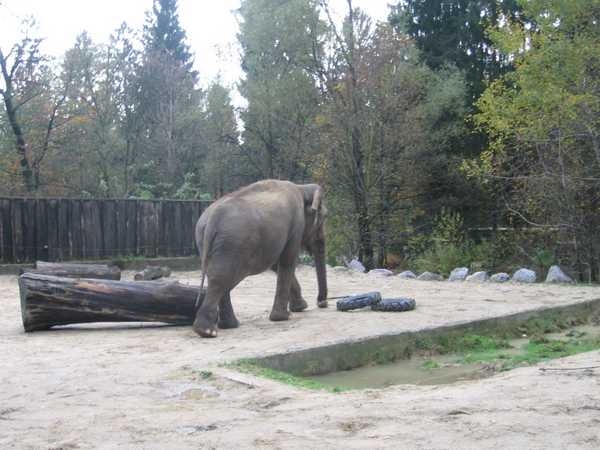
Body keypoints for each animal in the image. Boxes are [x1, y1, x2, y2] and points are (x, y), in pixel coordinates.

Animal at [193, 179, 328, 337]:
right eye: (323, 218)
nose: (322, 303)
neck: (302, 188)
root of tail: (212, 219)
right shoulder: (296, 224)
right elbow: (288, 260)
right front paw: (284, 316)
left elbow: (276, 264)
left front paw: (300, 307)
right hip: (233, 244)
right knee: (221, 278)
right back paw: (207, 331)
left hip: (207, 242)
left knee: (217, 276)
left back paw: (229, 325)